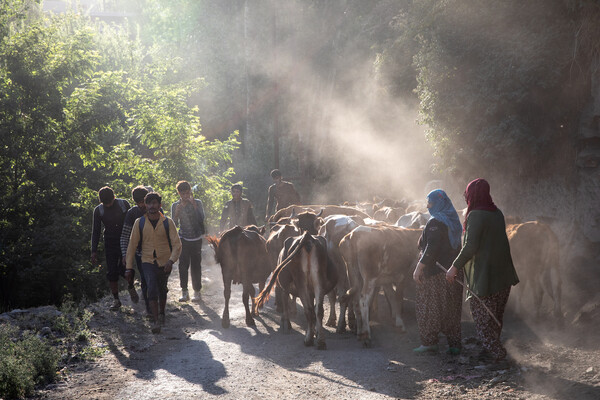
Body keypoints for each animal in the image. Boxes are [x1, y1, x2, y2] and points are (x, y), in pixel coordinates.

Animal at [254, 209, 338, 350]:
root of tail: (308, 237)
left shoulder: (284, 284)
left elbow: (285, 299)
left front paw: (285, 323)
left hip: (300, 282)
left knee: (308, 309)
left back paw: (308, 339)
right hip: (318, 282)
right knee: (318, 310)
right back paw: (320, 340)